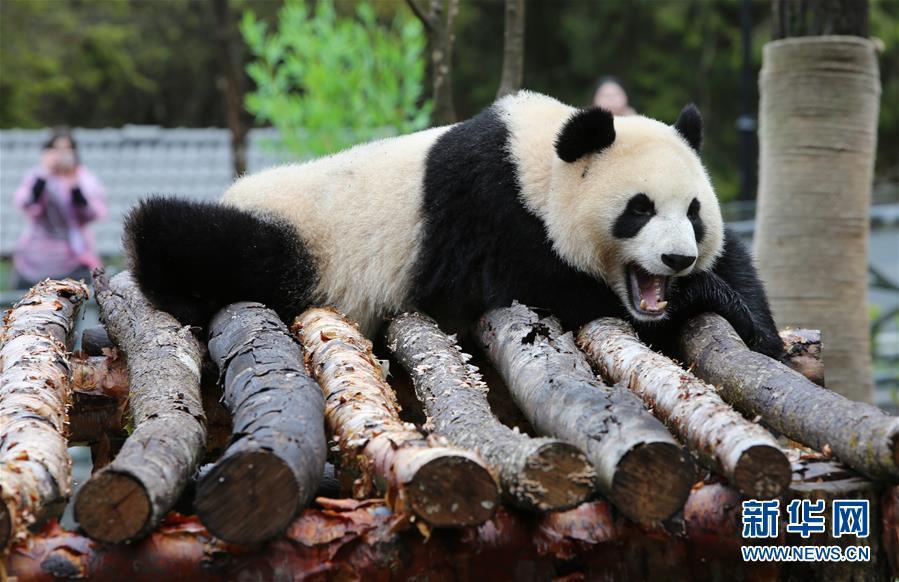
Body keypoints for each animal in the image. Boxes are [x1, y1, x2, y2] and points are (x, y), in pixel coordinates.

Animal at [123, 90, 784, 360]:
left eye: (694, 213)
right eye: (638, 209)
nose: (677, 260)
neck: (536, 161)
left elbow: (742, 267)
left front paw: (756, 326)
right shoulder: (486, 213)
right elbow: (537, 288)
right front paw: (704, 296)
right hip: (293, 234)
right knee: (179, 234)